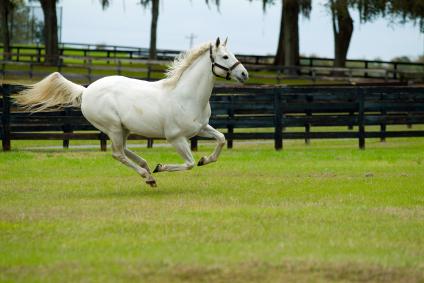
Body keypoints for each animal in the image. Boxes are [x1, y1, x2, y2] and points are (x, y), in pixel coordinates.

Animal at [14, 38, 248, 189]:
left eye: (233, 55)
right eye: (225, 57)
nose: (244, 74)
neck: (185, 96)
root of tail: (86, 90)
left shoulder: (201, 128)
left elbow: (221, 139)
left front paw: (205, 159)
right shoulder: (176, 138)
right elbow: (189, 164)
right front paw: (161, 167)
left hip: (122, 129)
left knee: (124, 150)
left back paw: (146, 168)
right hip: (113, 127)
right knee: (118, 153)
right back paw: (148, 175)